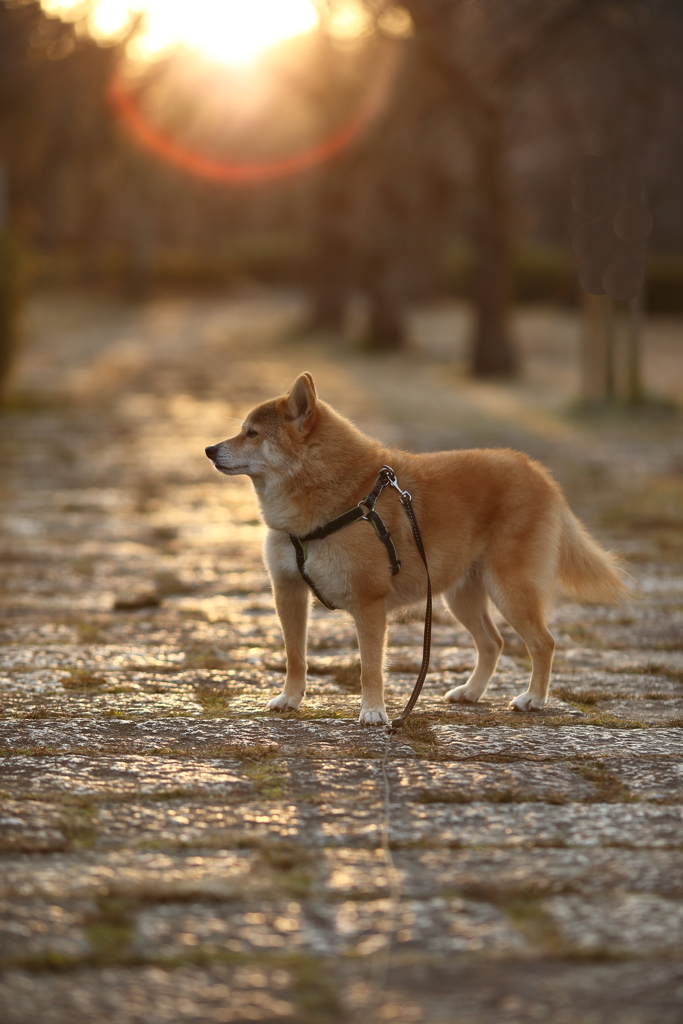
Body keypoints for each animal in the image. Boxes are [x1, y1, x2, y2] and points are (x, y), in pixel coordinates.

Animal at [205, 372, 626, 724]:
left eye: (253, 433)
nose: (209, 449)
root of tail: (537, 471)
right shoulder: (288, 591)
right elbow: (295, 657)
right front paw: (290, 699)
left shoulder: (369, 603)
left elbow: (370, 667)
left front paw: (374, 712)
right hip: (461, 596)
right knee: (493, 643)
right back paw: (471, 692)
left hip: (509, 589)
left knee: (543, 643)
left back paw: (533, 699)